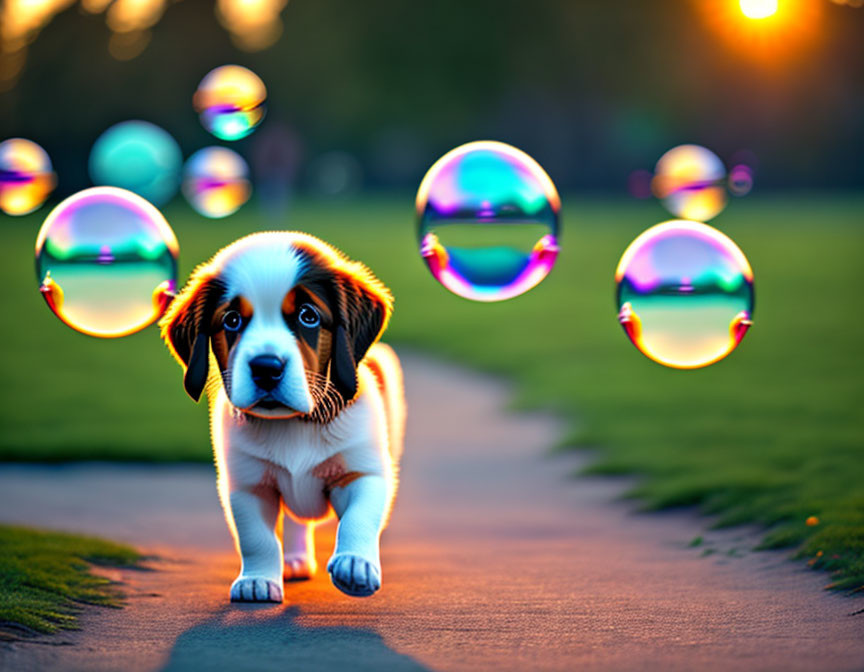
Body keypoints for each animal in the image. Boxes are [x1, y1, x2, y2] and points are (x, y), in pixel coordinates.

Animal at [159, 232, 404, 604]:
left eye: (308, 316)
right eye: (232, 320)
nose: (266, 368)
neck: (295, 422)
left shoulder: (364, 471)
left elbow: (358, 517)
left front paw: (355, 564)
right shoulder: (248, 485)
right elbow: (256, 539)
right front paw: (258, 580)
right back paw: (294, 558)